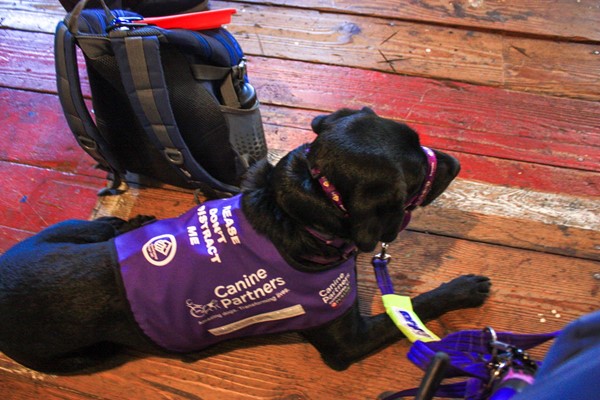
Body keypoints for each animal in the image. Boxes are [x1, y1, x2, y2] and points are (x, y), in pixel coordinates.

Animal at [0, 108, 490, 374]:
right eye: (418, 173)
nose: (456, 163)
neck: (296, 207)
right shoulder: (345, 339)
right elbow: (416, 306)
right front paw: (464, 289)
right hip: (87, 353)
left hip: (74, 231)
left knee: (104, 229)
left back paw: (132, 222)